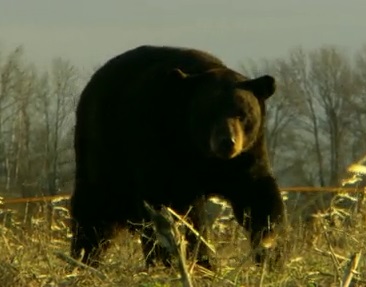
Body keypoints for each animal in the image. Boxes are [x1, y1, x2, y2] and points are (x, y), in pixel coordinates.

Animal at [69, 44, 286, 270]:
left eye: (242, 114)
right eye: (209, 113)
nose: (227, 142)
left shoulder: (245, 157)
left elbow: (258, 197)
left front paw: (270, 248)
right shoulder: (161, 145)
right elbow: (174, 206)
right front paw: (193, 257)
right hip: (104, 151)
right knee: (94, 211)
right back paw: (85, 258)